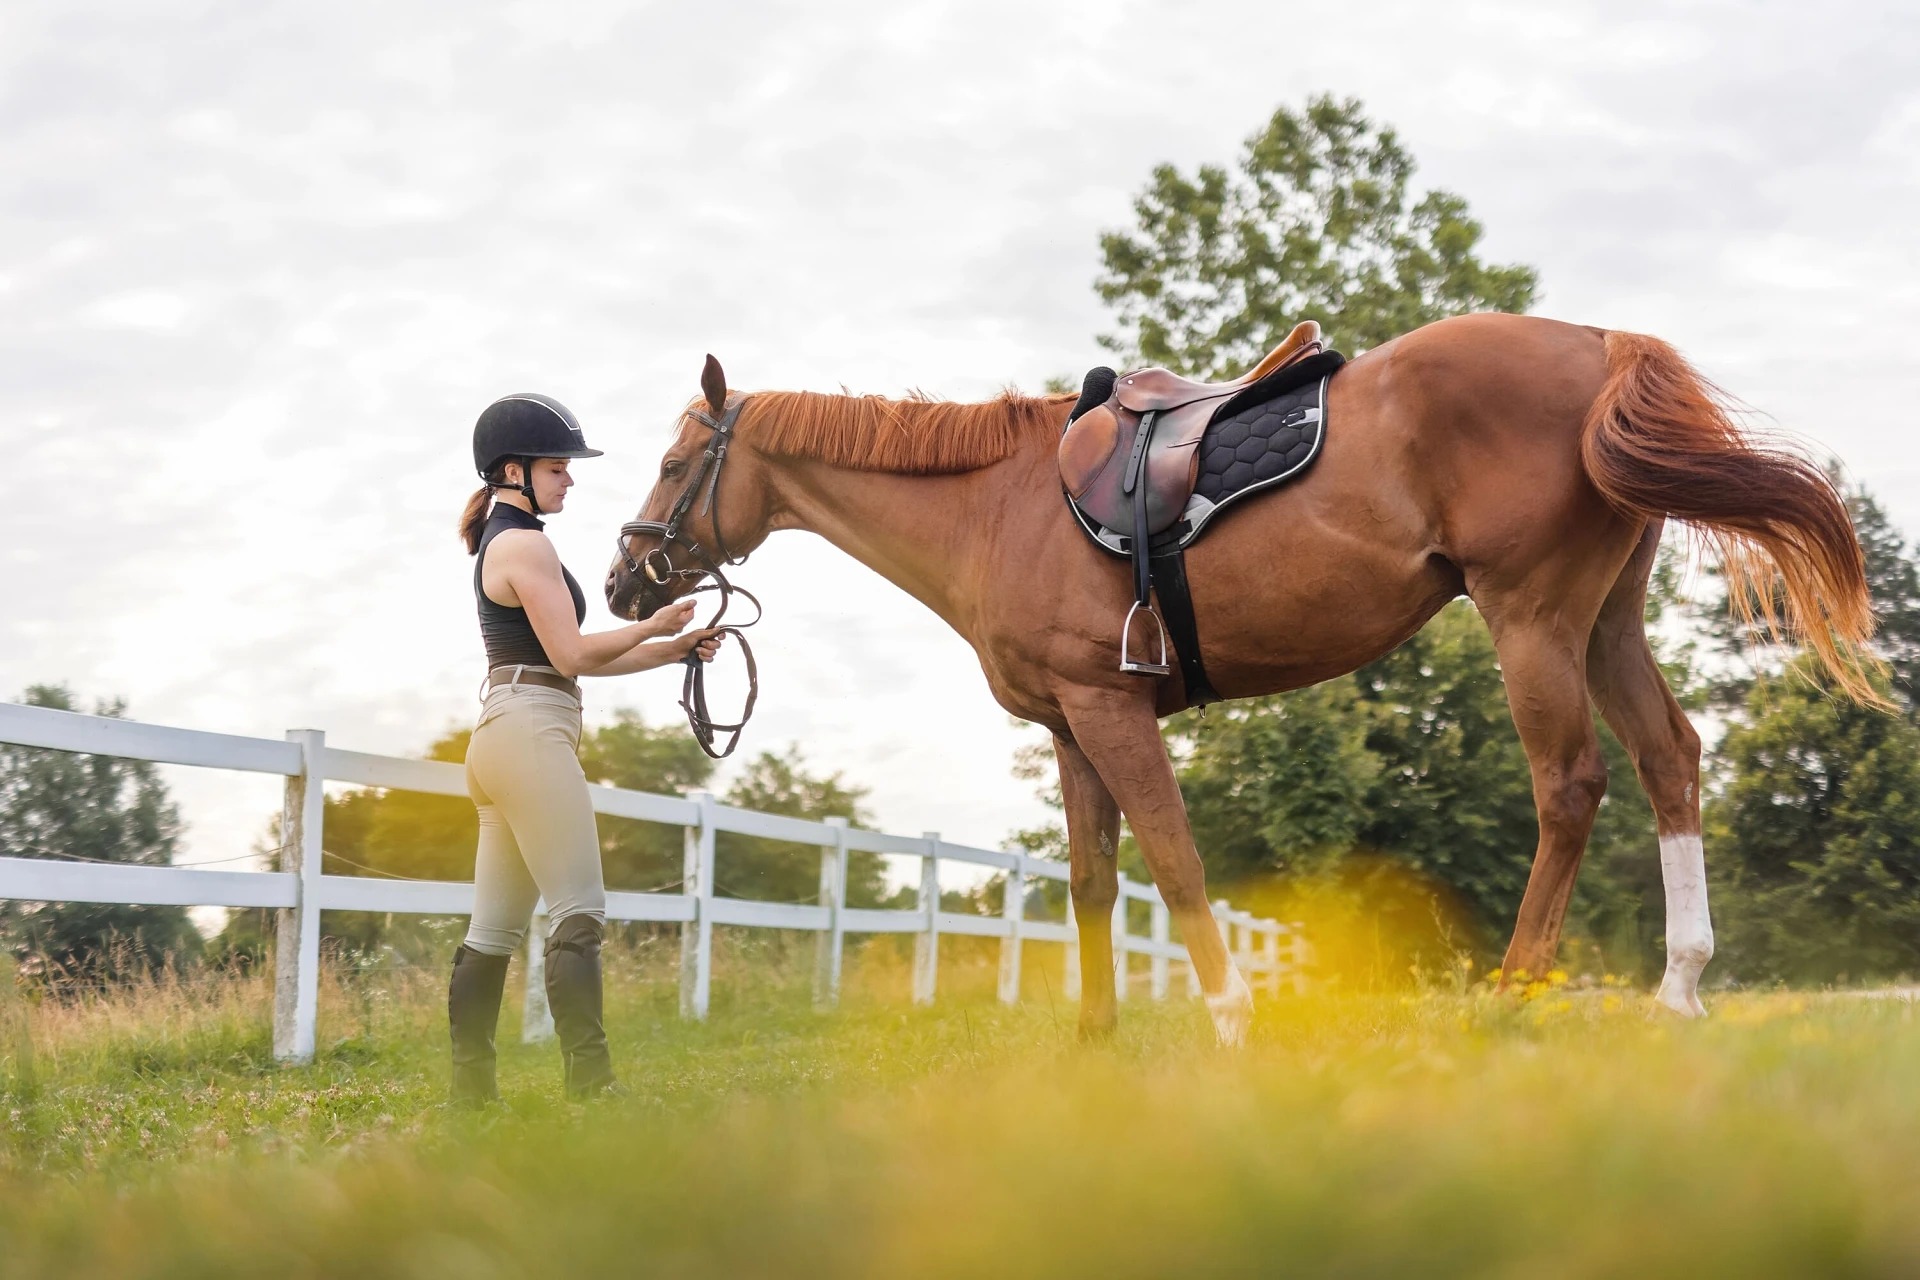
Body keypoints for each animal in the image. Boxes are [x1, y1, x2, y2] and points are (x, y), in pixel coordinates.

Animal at [606, 312, 1876, 1045]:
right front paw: (1097, 1041)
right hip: (1605, 622)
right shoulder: (1071, 727)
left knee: (1570, 783)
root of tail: (1595, 342)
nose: (622, 580)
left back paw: (1514, 992)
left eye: (674, 461)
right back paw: (1681, 983)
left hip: (1533, 618)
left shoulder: (1113, 707)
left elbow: (1172, 860)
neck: (1000, 505)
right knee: (1671, 758)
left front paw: (1226, 1018)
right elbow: (1093, 883)